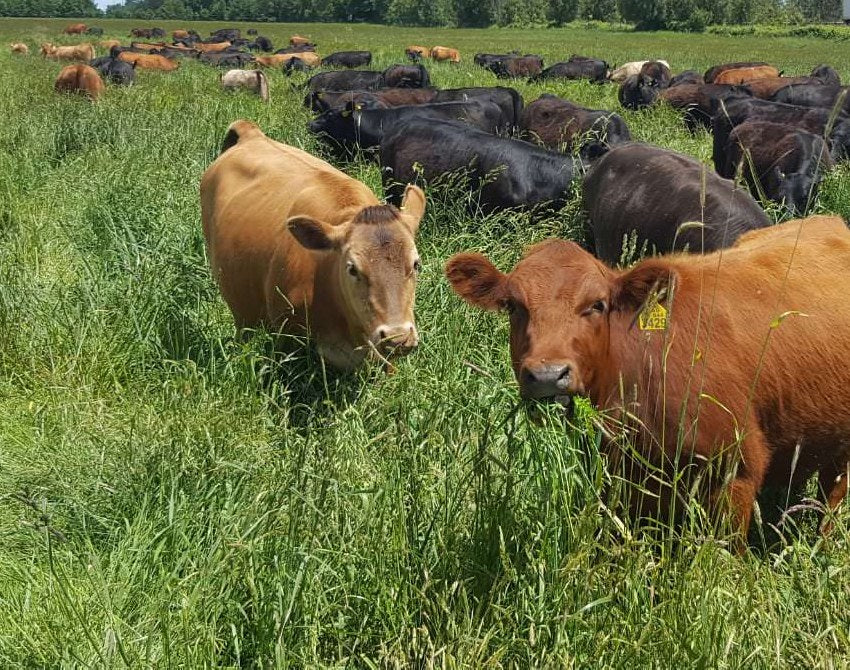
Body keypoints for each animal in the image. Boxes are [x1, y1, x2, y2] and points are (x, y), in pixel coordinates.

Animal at [444, 214, 850, 551]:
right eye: (514, 306)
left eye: (597, 305)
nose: (547, 375)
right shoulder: (617, 477)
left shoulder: (735, 471)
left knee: (832, 499)